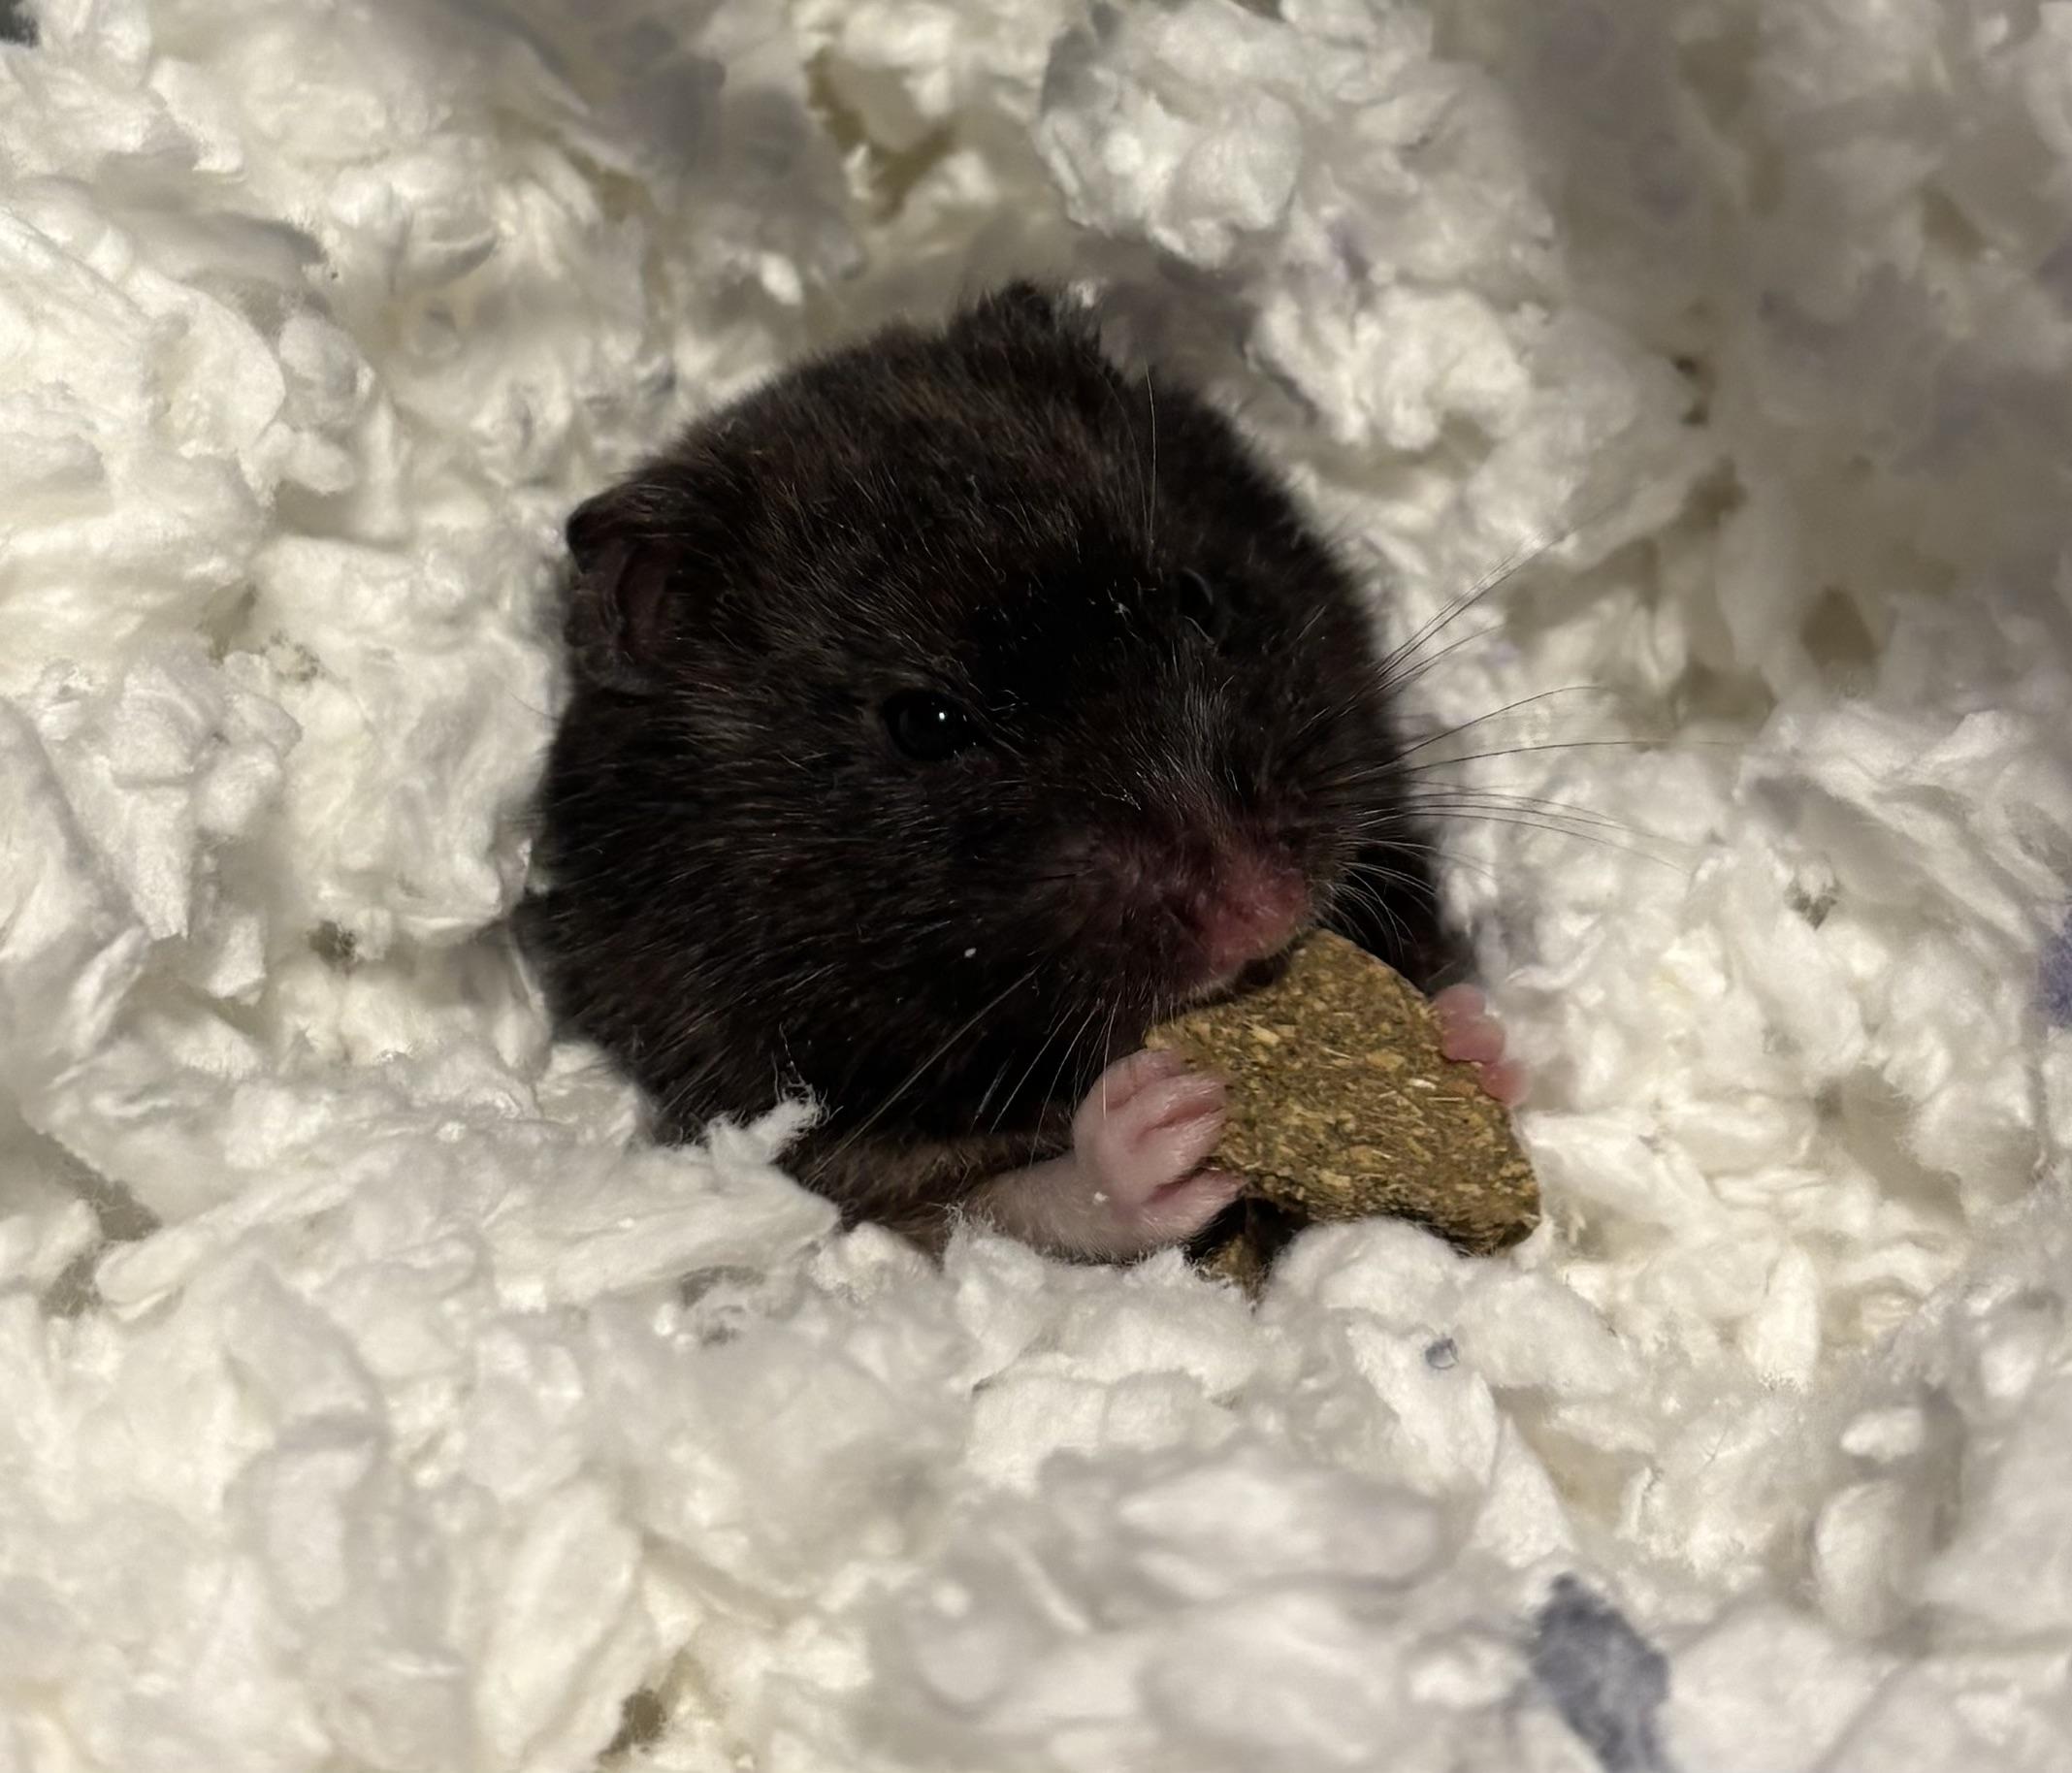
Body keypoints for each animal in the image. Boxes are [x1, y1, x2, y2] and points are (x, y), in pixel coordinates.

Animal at [518, 283, 1518, 1260]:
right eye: (924, 725)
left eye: (1197, 599)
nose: (1264, 914)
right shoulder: (813, 1152)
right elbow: (1003, 1207)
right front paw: (1169, 1119)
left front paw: (1472, 1042)